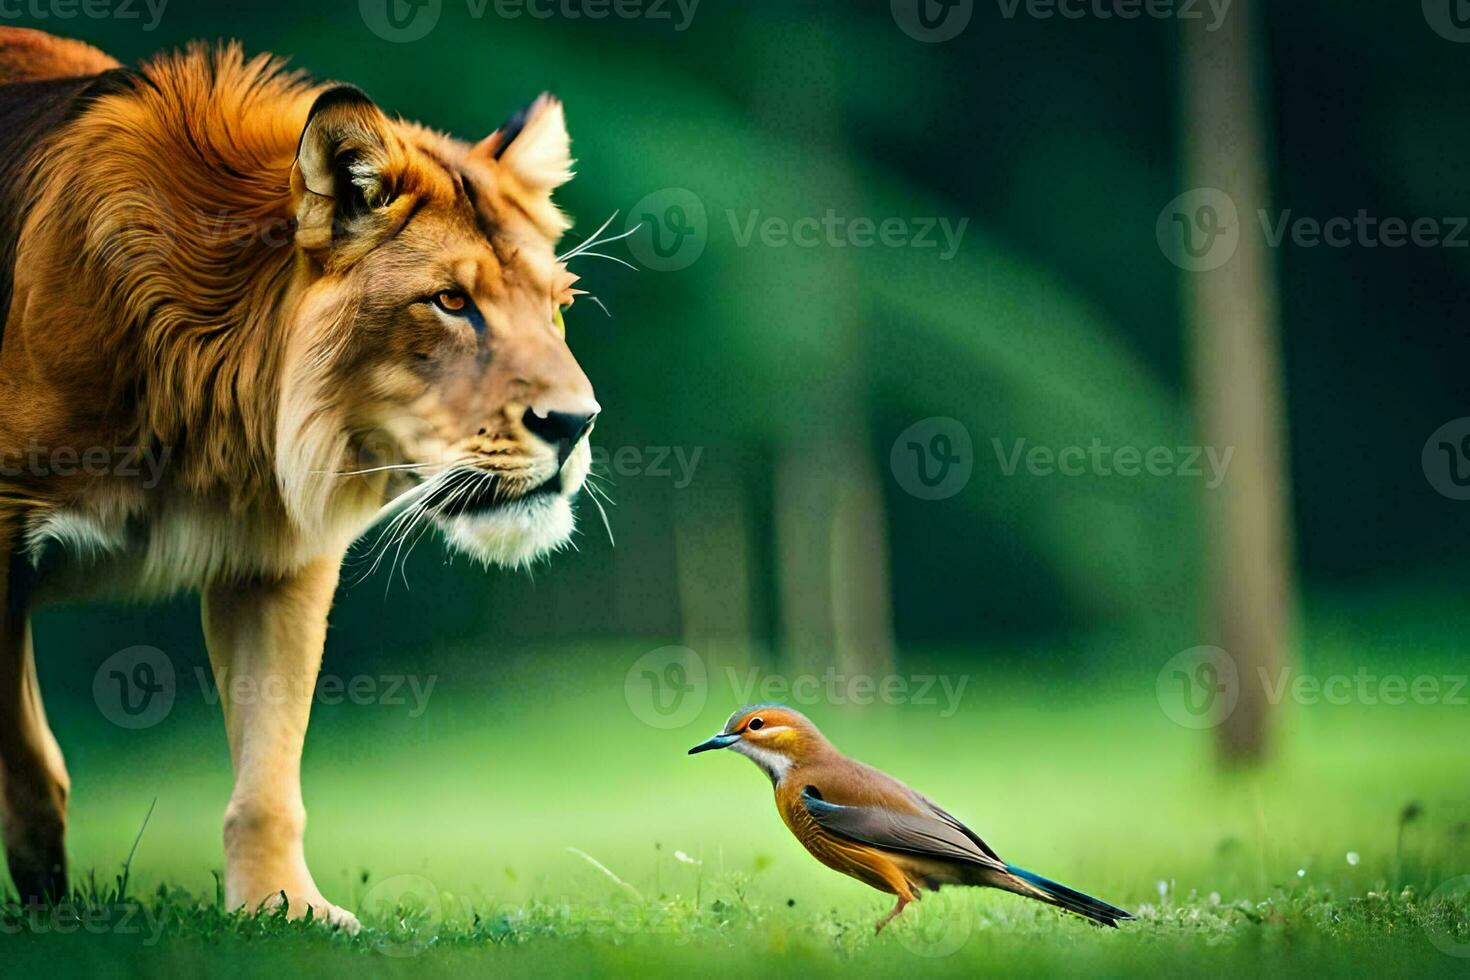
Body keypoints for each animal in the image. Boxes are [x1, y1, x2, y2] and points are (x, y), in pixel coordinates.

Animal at [0, 26, 602, 934]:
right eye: (449, 302)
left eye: (557, 304)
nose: (576, 424)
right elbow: (29, 760)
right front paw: (51, 911)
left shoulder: (277, 561)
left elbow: (269, 768)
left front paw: (281, 909)